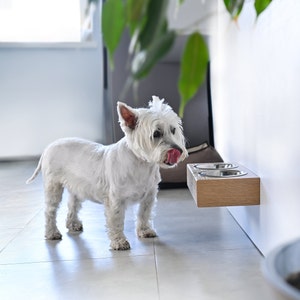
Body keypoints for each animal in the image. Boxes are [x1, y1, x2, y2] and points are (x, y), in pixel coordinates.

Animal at [26, 96, 188, 251]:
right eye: (156, 133)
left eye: (173, 130)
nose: (178, 151)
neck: (141, 164)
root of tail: (48, 147)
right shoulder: (115, 199)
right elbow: (116, 221)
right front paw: (119, 242)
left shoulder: (149, 195)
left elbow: (144, 213)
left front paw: (145, 231)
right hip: (53, 186)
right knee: (50, 211)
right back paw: (52, 233)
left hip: (77, 187)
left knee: (72, 204)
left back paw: (73, 224)